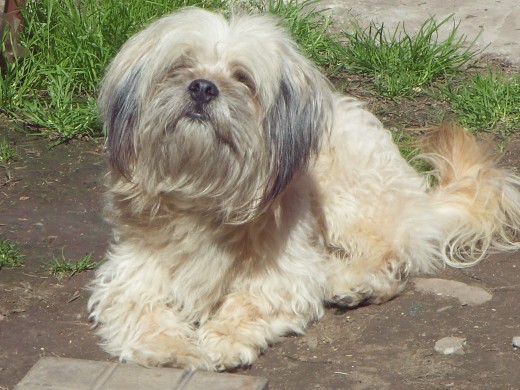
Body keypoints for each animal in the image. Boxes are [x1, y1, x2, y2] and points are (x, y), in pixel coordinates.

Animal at [88, 7, 520, 370]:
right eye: (179, 66)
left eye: (243, 78)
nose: (203, 87)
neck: (205, 191)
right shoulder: (131, 274)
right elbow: (140, 310)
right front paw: (172, 349)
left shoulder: (284, 275)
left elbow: (251, 302)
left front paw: (222, 340)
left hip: (349, 197)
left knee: (393, 256)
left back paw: (354, 284)